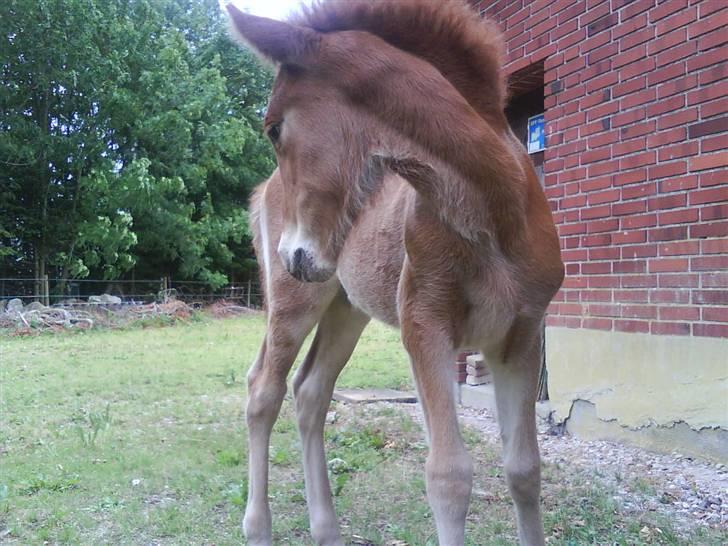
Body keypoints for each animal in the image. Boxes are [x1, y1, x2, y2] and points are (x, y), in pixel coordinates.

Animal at [226, 2, 564, 540]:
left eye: (273, 127)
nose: (292, 254)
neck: (495, 208)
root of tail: (265, 187)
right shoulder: (425, 326)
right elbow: (448, 476)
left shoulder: (521, 337)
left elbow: (525, 470)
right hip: (294, 303)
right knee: (264, 389)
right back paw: (258, 528)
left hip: (346, 309)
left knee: (310, 392)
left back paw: (327, 530)